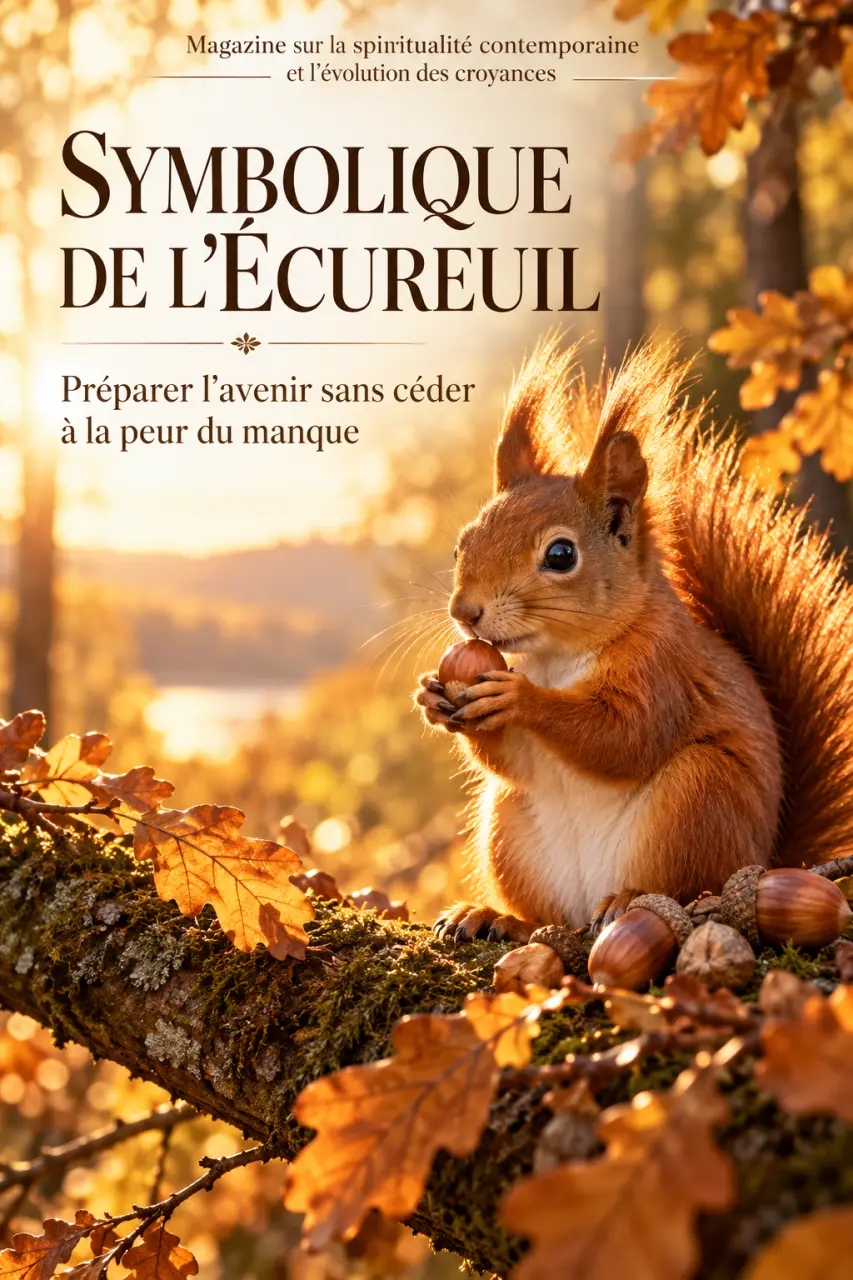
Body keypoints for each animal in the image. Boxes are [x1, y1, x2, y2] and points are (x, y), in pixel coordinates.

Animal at [416, 337, 853, 944]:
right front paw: (433, 697)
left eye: (561, 555)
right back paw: (494, 917)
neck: (555, 657)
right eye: (463, 543)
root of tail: (768, 861)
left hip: (699, 797)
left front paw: (518, 699)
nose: (465, 612)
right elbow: (514, 761)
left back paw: (626, 902)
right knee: (548, 917)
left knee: (686, 887)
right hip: (509, 828)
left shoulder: (662, 668)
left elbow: (624, 736)